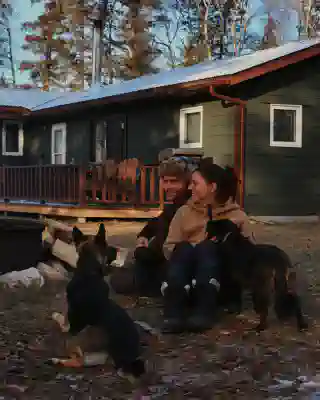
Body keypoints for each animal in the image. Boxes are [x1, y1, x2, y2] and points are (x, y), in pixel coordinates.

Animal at [51, 223, 156, 382]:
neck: (89, 272)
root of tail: (125, 358)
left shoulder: (69, 320)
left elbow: (63, 320)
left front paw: (55, 316)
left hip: (75, 340)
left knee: (79, 361)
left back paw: (58, 360)